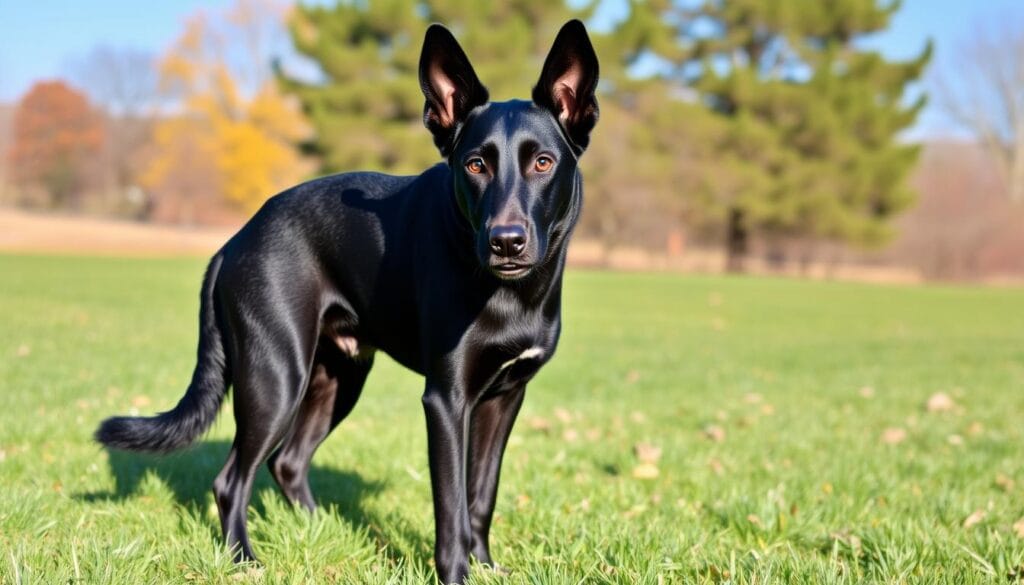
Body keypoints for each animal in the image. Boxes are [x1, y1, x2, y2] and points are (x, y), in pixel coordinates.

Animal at [96, 18, 598, 585]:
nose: (505, 242)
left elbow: (480, 497)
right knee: (233, 480)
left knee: (288, 463)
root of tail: (234, 241)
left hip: (339, 377)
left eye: (543, 162)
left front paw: (486, 566)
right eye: (474, 165)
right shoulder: (446, 401)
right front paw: (457, 573)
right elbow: (450, 507)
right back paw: (245, 558)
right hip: (275, 378)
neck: (510, 294)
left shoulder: (505, 397)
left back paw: (324, 530)